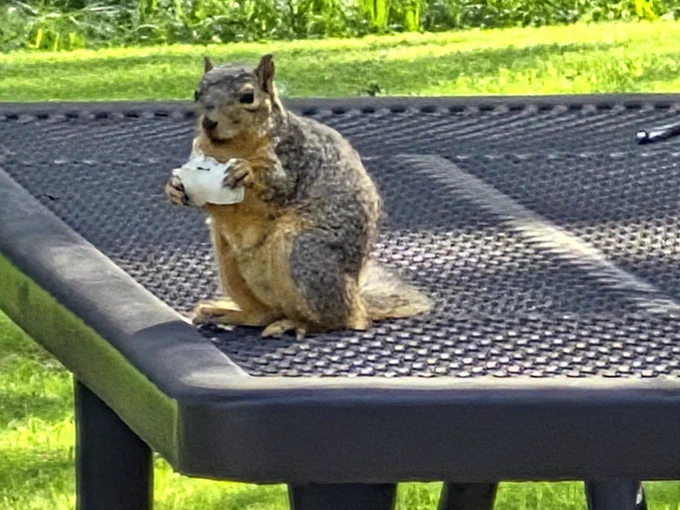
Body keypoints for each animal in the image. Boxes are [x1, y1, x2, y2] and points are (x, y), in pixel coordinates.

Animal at [165, 54, 432, 339]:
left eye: (248, 96)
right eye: (196, 92)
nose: (208, 122)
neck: (231, 147)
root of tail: (358, 299)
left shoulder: (293, 160)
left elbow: (277, 186)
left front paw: (246, 172)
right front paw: (174, 188)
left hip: (303, 252)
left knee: (339, 319)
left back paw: (298, 323)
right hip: (230, 265)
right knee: (262, 314)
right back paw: (226, 312)